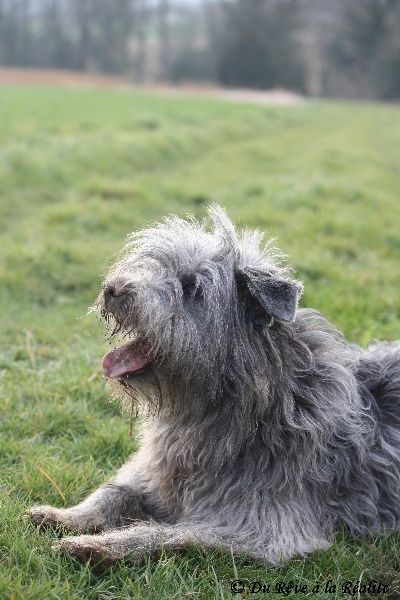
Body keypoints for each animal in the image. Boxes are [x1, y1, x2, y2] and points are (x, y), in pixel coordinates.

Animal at [28, 206, 400, 568]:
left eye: (192, 289)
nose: (114, 289)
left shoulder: (256, 529)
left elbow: (164, 533)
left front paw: (100, 545)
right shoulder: (155, 475)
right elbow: (113, 492)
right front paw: (64, 515)